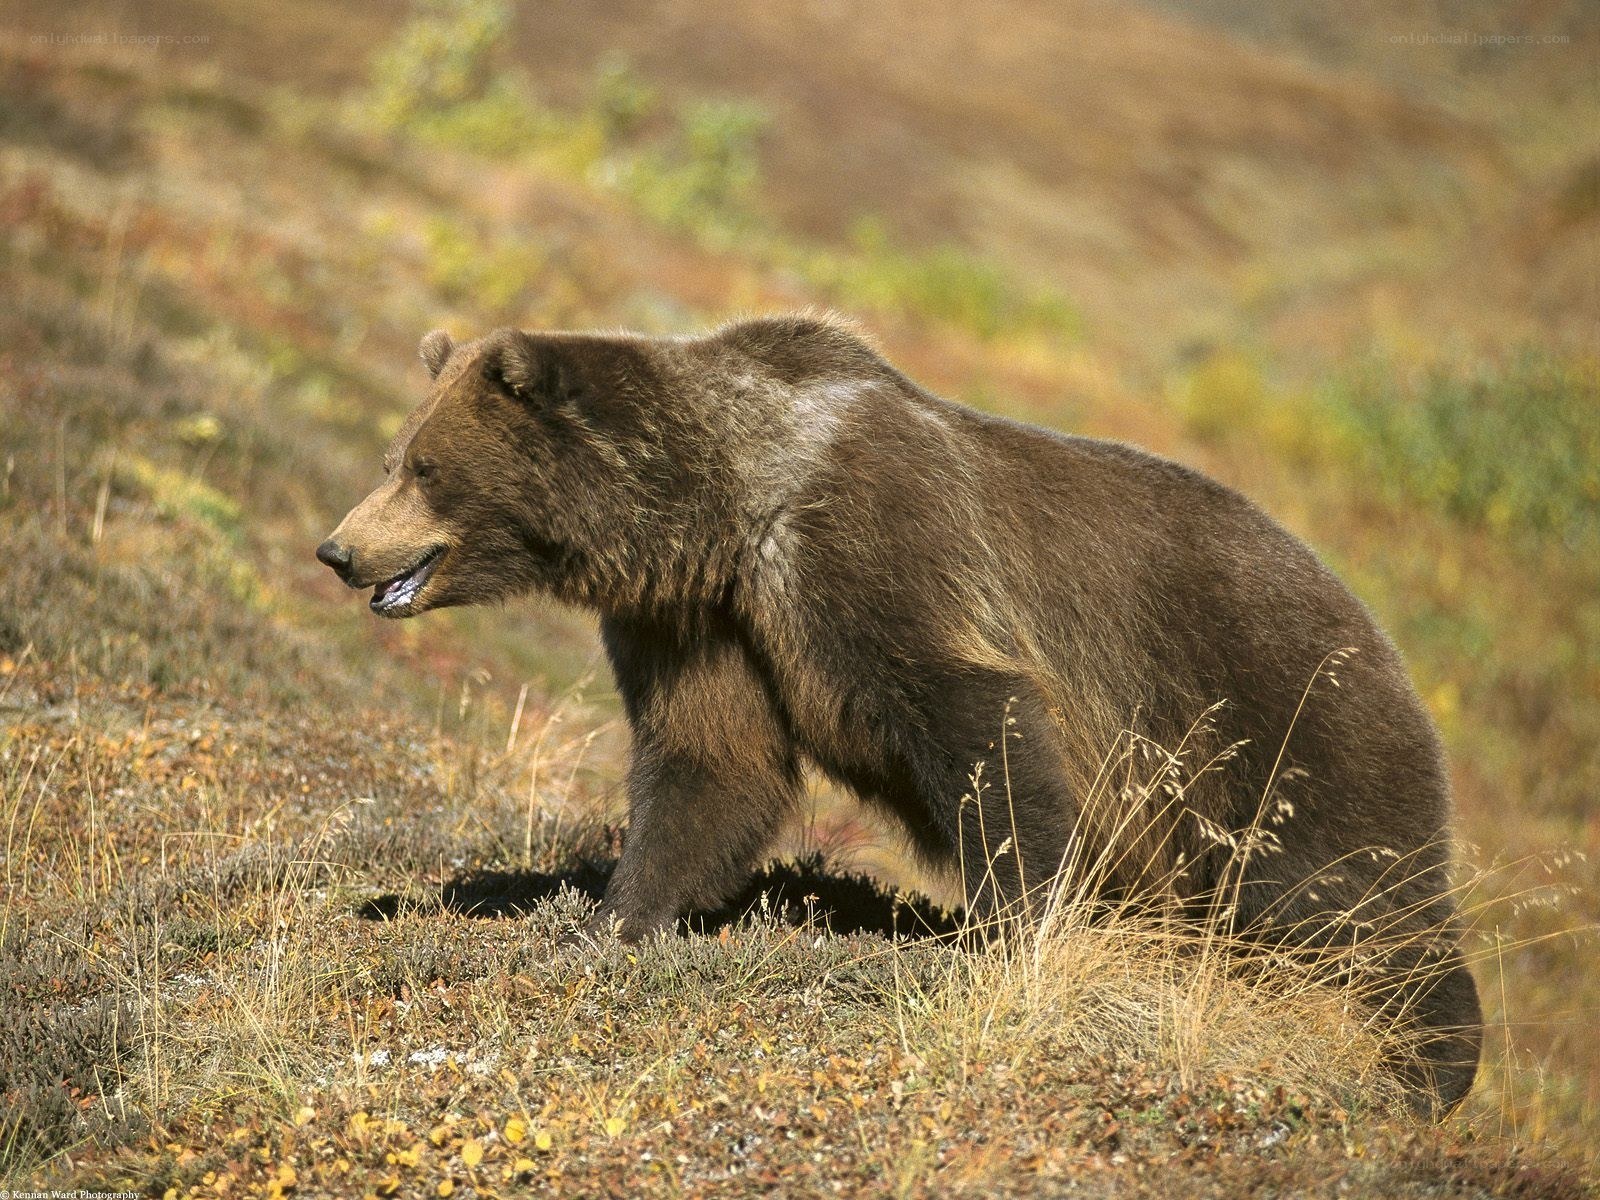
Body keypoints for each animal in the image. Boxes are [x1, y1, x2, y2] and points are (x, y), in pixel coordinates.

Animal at [316, 314, 1481, 1113]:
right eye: (394, 456)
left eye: (423, 465)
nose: (337, 549)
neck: (725, 502)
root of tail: (1383, 634)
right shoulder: (704, 620)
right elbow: (710, 768)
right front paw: (611, 920)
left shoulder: (868, 546)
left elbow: (976, 725)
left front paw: (1020, 931)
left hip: (1276, 719)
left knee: (1344, 899)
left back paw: (1431, 1066)